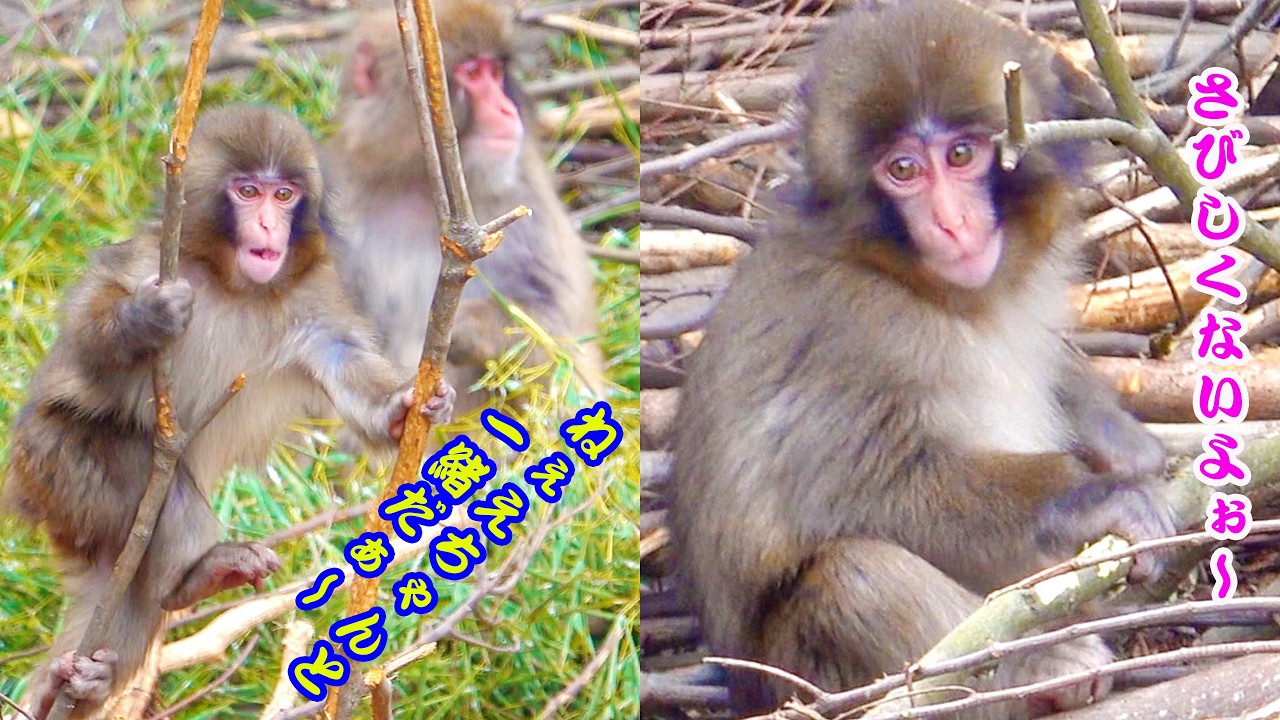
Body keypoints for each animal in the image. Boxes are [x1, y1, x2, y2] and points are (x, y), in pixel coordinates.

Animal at [3, 105, 454, 720]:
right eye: (247, 192)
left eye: (284, 194)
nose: (267, 227)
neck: (234, 284)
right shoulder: (150, 262)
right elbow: (86, 336)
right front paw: (142, 321)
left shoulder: (312, 292)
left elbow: (342, 361)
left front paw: (404, 408)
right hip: (52, 462)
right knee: (150, 474)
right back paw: (184, 582)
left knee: (126, 587)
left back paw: (86, 677)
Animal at [326, 0, 603, 422]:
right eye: (472, 73)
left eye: (496, 72)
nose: (507, 110)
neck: (423, 188)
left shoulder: (524, 195)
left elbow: (556, 325)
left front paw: (468, 329)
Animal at [666, 1, 1176, 716]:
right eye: (902, 170)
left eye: (961, 155)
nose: (951, 224)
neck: (928, 290)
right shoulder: (858, 331)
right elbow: (874, 488)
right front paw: (1092, 499)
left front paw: (1120, 439)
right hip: (812, 681)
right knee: (857, 577)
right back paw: (1037, 673)